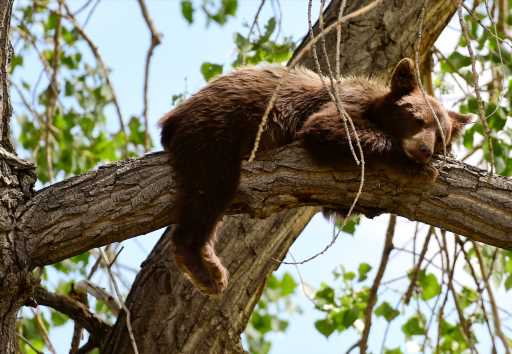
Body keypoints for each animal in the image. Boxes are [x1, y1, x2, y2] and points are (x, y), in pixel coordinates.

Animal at [158, 58, 470, 296]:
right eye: (417, 118)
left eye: (440, 135)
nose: (423, 150)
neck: (374, 107)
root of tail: (173, 117)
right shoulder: (345, 101)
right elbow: (328, 127)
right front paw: (416, 168)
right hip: (216, 129)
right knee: (211, 187)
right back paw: (205, 267)